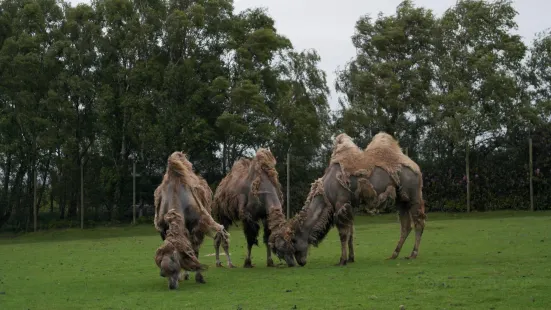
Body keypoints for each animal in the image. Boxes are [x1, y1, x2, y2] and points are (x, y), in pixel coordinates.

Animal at [153, 151, 229, 284]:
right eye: (161, 262)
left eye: (173, 262)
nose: (163, 274)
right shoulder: (163, 228)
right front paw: (183, 275)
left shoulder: (197, 225)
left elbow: (194, 249)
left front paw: (199, 277)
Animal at [270, 132, 426, 266]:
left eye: (292, 242)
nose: (298, 263)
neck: (326, 190)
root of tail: (416, 167)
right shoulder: (350, 205)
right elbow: (350, 232)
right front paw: (351, 258)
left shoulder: (341, 202)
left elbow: (343, 234)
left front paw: (342, 260)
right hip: (401, 199)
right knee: (406, 226)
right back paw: (394, 254)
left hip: (414, 195)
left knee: (419, 222)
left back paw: (413, 254)